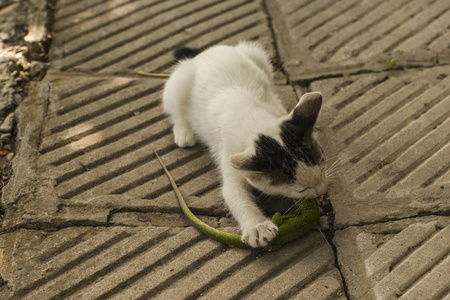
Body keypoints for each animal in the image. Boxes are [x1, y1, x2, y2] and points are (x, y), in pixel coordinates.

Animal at [163, 41, 326, 247]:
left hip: (256, 55)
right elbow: (234, 193)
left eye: (323, 166)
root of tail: (208, 51)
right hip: (177, 83)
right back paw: (183, 131)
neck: (255, 121)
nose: (322, 191)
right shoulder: (230, 155)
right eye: (302, 189)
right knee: (176, 109)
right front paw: (257, 227)